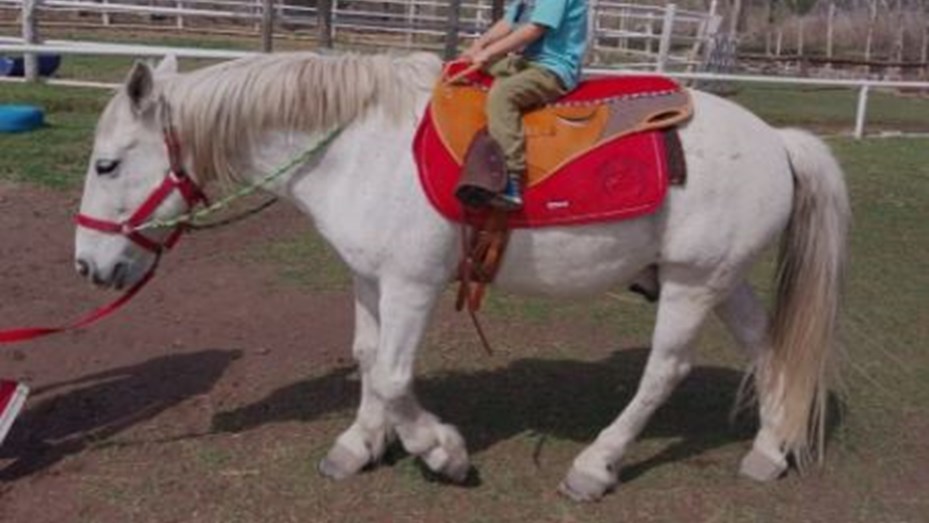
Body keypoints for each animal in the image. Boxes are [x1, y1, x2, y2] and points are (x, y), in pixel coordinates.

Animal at [73, 52, 849, 501]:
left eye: (107, 164)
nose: (89, 266)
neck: (359, 146)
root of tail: (776, 141)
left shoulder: (412, 284)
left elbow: (393, 377)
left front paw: (440, 451)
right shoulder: (369, 279)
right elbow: (367, 360)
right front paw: (360, 444)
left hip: (689, 285)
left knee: (663, 371)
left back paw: (595, 466)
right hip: (722, 278)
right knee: (768, 349)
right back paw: (768, 448)